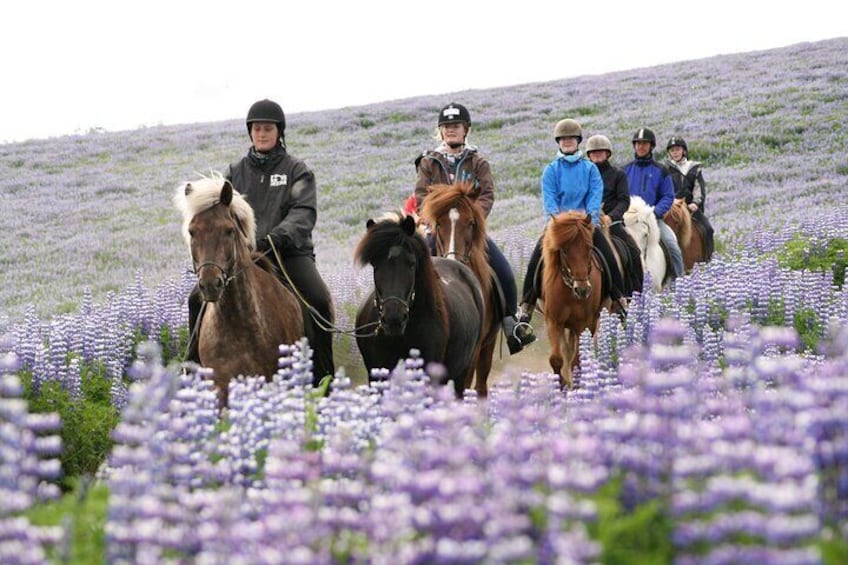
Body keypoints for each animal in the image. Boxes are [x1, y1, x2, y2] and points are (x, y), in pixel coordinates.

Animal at [540, 210, 608, 388]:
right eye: (564, 251)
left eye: (589, 248)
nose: (582, 290)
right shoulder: (553, 321)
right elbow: (556, 359)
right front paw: (561, 385)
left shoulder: (582, 324)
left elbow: (576, 361)